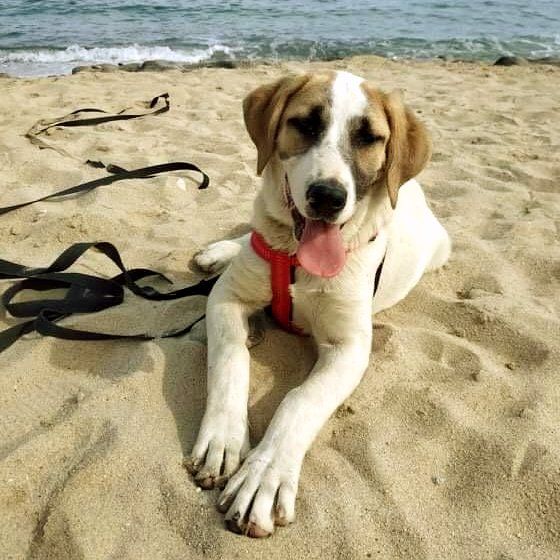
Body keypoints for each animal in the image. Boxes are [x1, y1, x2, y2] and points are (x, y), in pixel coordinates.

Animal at [186, 70, 451, 537]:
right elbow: (229, 364)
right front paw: (222, 439)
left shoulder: (349, 347)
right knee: (250, 234)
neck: (295, 259)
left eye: (369, 138)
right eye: (305, 124)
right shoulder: (226, 298)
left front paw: (264, 475)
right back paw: (220, 252)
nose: (328, 197)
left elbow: (300, 400)